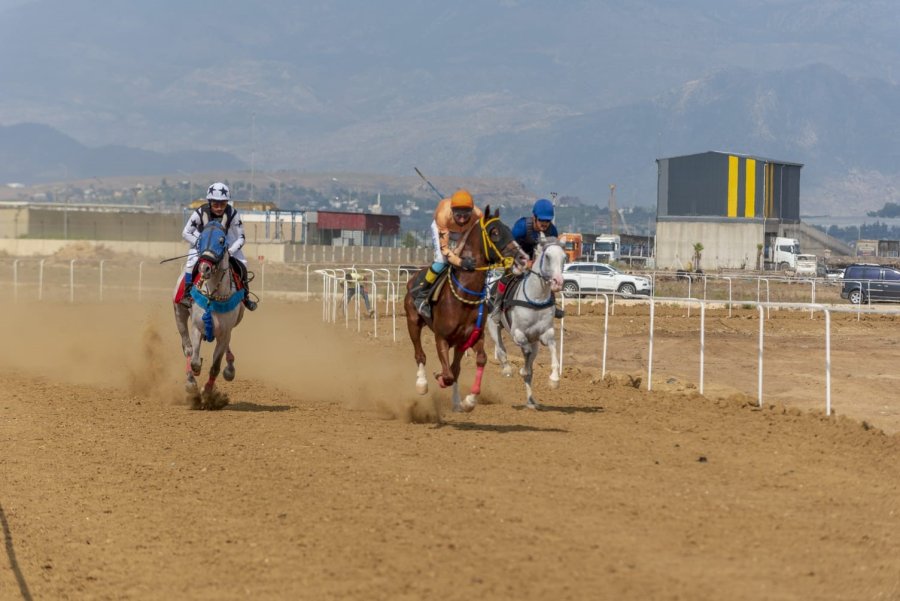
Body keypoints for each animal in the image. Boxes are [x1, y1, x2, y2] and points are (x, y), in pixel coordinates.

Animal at [171, 220, 243, 408]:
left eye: (221, 240)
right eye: (201, 239)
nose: (205, 267)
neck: (213, 295)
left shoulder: (225, 332)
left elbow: (215, 366)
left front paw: (208, 393)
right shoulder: (197, 327)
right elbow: (195, 359)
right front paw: (194, 381)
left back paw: (230, 367)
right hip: (179, 315)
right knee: (187, 348)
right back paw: (190, 380)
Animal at [406, 207, 528, 412]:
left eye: (509, 229)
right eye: (495, 232)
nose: (522, 258)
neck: (465, 295)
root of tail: (414, 276)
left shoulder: (474, 336)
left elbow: (478, 361)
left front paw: (468, 400)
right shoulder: (441, 338)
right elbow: (447, 374)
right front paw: (439, 378)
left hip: (460, 341)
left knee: (455, 368)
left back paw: (456, 401)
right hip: (413, 321)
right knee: (419, 354)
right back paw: (422, 383)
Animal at [488, 237, 568, 410]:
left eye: (564, 258)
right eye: (547, 257)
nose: (558, 282)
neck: (536, 298)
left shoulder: (545, 335)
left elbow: (552, 351)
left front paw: (554, 379)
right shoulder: (518, 334)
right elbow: (525, 352)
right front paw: (522, 370)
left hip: (535, 341)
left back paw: (531, 401)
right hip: (493, 325)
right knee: (501, 349)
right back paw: (507, 369)